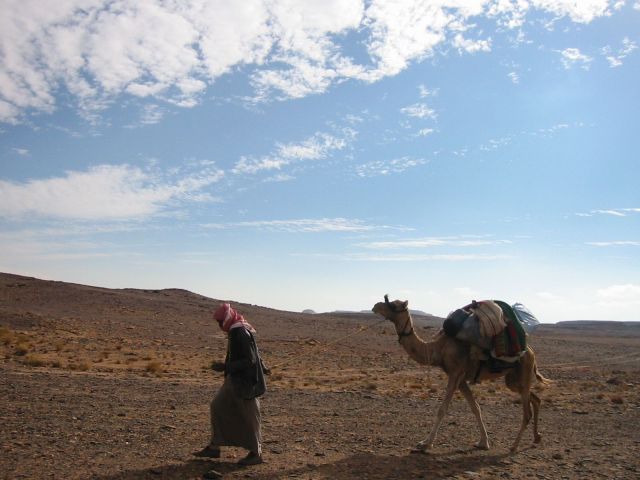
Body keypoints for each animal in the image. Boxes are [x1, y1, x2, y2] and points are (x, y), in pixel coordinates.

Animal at [370, 292, 552, 454]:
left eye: (393, 305)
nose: (375, 306)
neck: (437, 349)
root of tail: (530, 351)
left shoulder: (455, 372)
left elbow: (442, 409)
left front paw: (425, 444)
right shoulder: (462, 378)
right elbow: (475, 407)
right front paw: (483, 442)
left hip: (523, 372)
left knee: (527, 412)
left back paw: (514, 446)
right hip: (513, 379)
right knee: (535, 399)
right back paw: (537, 437)